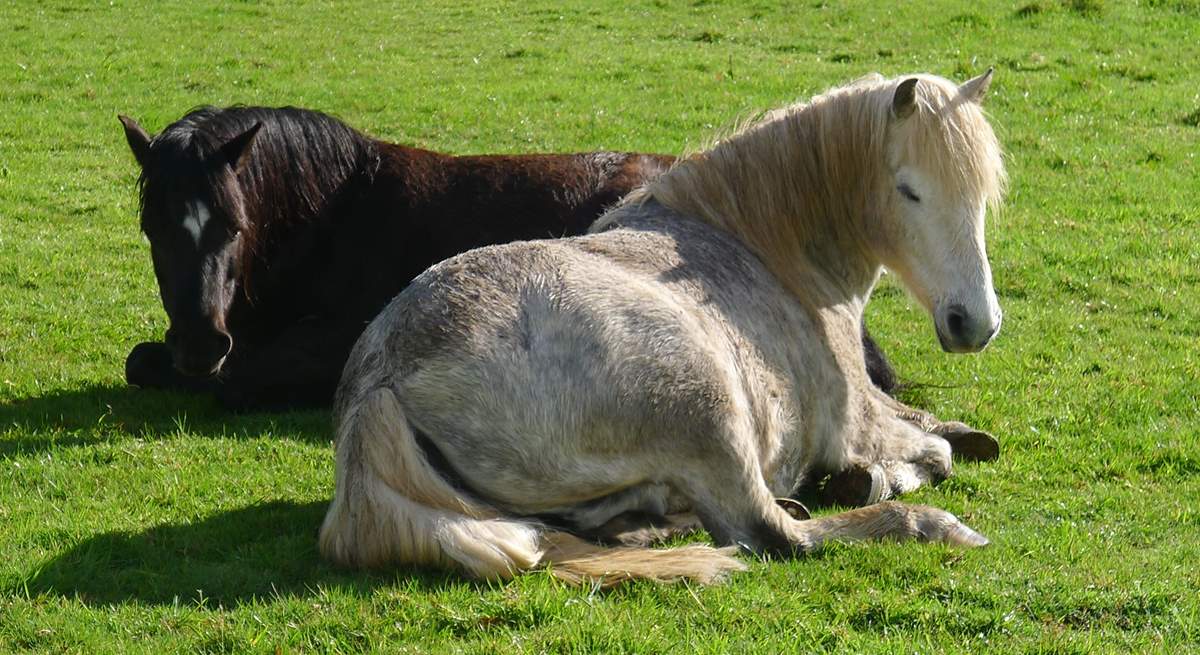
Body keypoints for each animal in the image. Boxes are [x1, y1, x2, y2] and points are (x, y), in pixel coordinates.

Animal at [119, 106, 902, 407]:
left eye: (232, 225)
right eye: (153, 227)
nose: (200, 341)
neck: (333, 216)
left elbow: (240, 377)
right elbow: (142, 362)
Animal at [316, 71, 1003, 580]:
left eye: (981, 195)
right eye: (909, 190)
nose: (975, 323)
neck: (765, 249)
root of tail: (382, 378)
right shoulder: (857, 422)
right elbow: (935, 451)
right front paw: (883, 476)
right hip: (710, 412)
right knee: (773, 534)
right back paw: (927, 525)